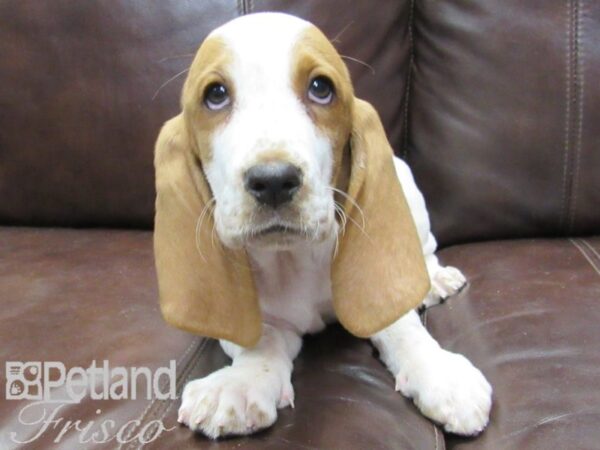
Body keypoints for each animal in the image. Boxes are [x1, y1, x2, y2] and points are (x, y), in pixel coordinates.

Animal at [154, 11, 492, 440]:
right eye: (215, 94)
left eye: (321, 88)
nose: (274, 180)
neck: (292, 258)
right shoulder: (258, 324)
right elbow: (261, 343)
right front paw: (238, 386)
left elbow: (403, 327)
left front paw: (442, 376)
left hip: (407, 184)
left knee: (425, 248)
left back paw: (435, 279)